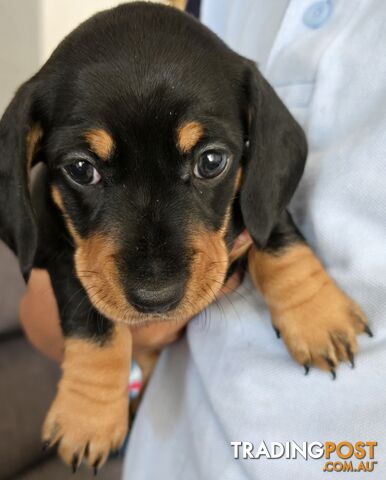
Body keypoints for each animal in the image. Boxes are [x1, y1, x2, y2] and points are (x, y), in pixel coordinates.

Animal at [0, 0, 370, 472]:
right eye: (81, 169)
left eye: (211, 161)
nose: (155, 298)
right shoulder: (61, 255)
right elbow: (91, 318)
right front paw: (89, 416)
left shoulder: (257, 199)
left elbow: (275, 233)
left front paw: (317, 316)